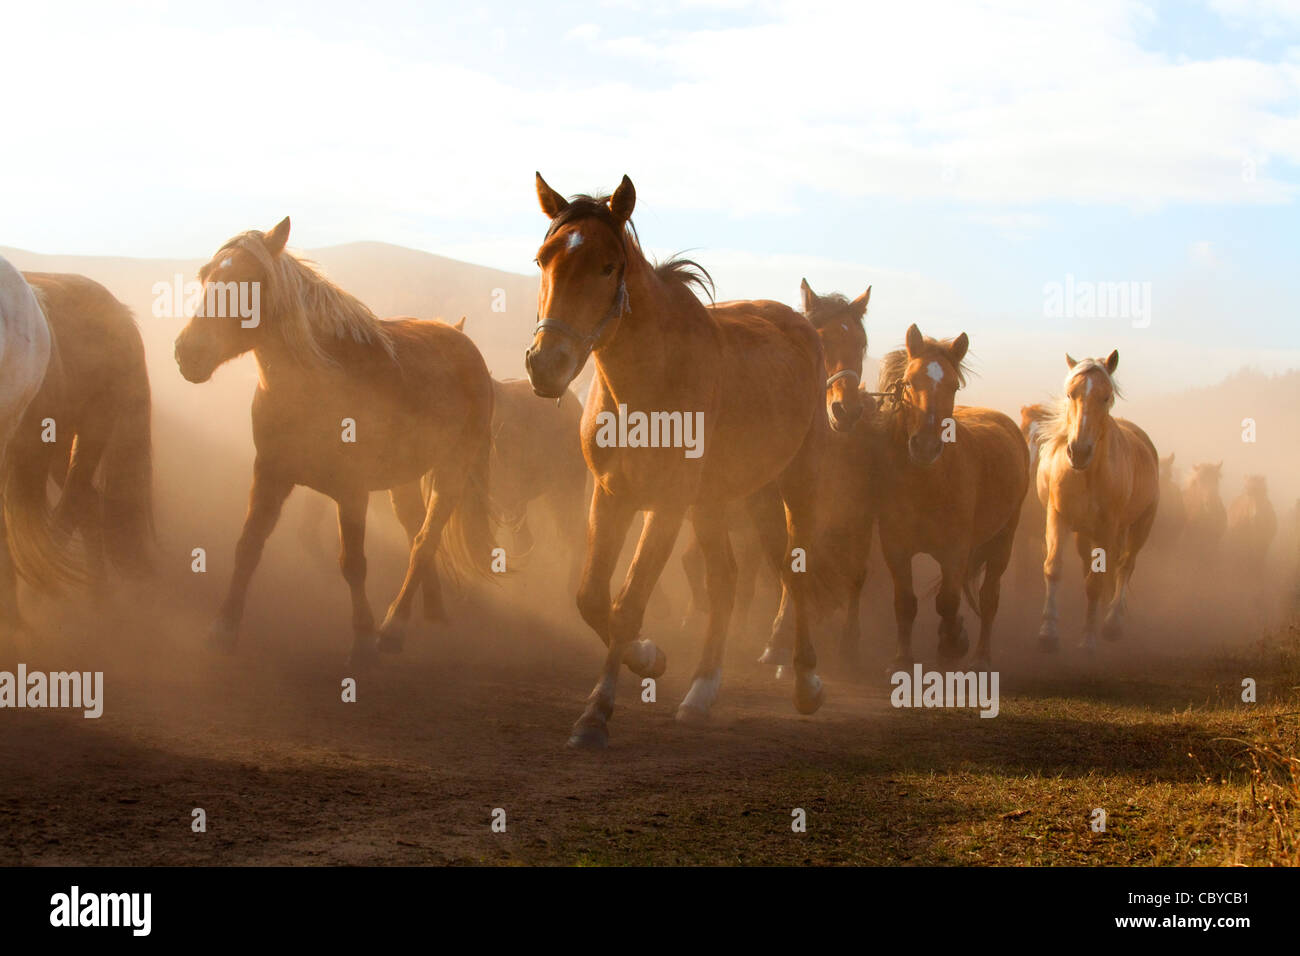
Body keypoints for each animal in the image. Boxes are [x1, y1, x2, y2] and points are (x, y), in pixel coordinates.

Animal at [174, 217, 496, 666]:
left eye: (250, 280)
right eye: (206, 276)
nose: (188, 353)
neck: (317, 385)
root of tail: (460, 339)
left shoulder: (352, 491)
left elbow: (353, 563)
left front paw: (362, 640)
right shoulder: (270, 474)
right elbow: (248, 546)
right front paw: (223, 628)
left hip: (452, 470)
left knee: (424, 541)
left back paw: (393, 628)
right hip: (404, 481)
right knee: (417, 532)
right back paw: (428, 609)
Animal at [525, 174, 828, 747]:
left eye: (608, 266)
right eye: (542, 259)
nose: (546, 365)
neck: (649, 382)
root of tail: (799, 325)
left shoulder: (665, 507)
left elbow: (626, 605)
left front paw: (596, 714)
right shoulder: (612, 496)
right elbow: (592, 598)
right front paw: (650, 657)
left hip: (793, 483)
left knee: (796, 570)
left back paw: (807, 682)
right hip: (724, 500)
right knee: (727, 580)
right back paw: (701, 692)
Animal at [872, 325, 1027, 669]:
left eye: (954, 385)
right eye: (910, 382)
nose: (926, 446)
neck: (926, 483)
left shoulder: (954, 550)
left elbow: (948, 601)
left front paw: (953, 643)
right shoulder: (895, 548)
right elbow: (905, 602)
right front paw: (902, 659)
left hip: (1003, 540)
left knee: (988, 598)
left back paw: (980, 657)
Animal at [1036, 351, 1159, 650]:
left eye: (1106, 397)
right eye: (1071, 394)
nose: (1079, 451)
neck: (1086, 475)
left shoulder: (1107, 528)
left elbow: (1096, 581)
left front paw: (1089, 638)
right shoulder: (1057, 517)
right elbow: (1054, 568)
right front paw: (1048, 632)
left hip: (1141, 524)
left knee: (1125, 565)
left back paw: (1113, 621)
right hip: (1084, 532)